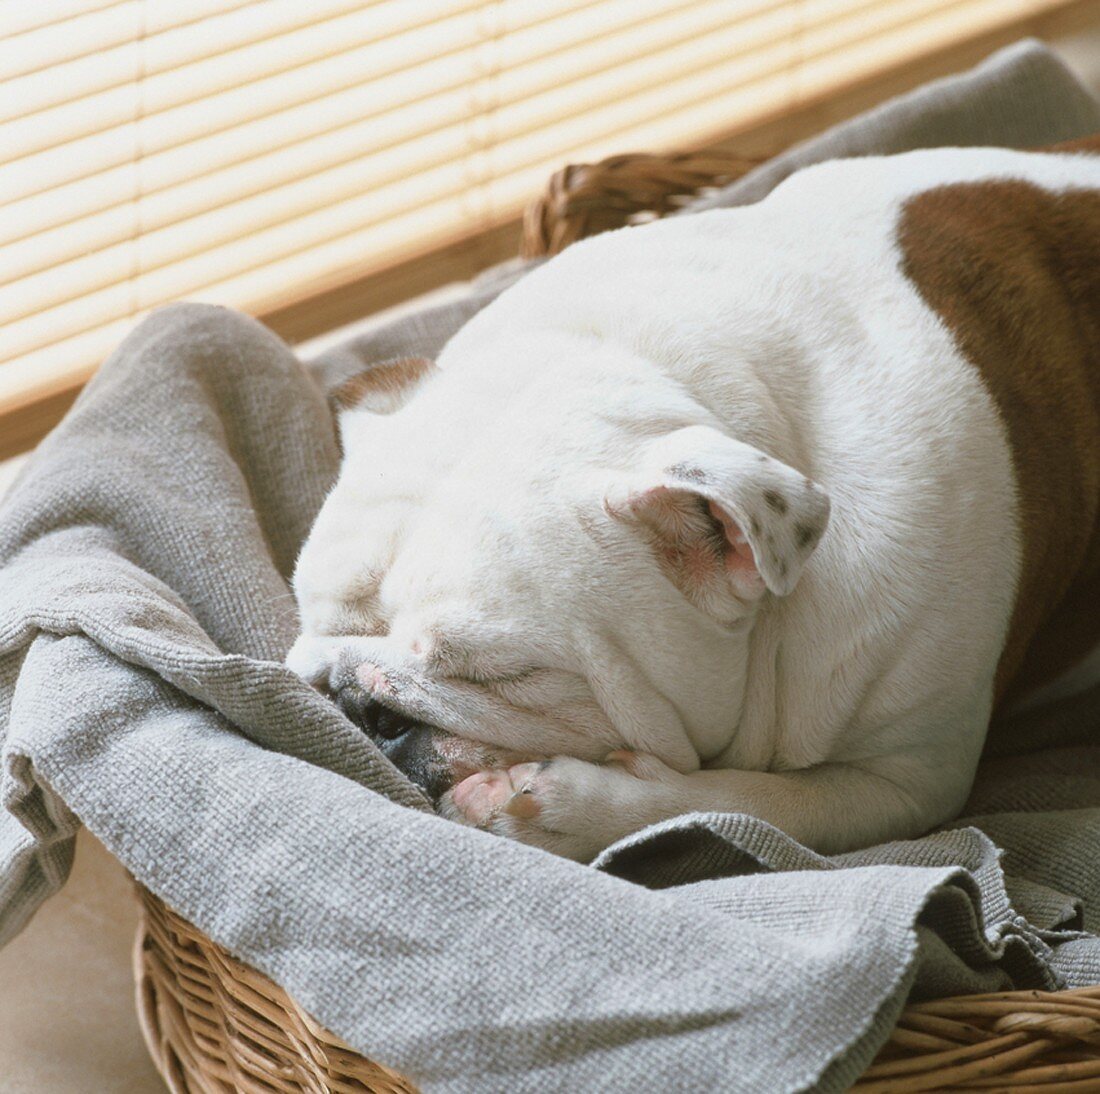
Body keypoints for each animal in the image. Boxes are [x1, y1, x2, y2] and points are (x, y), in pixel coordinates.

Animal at [286, 140, 1100, 862]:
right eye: (315, 619)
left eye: (503, 675)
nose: (361, 703)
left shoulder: (900, 780)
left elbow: (744, 801)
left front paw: (563, 810)